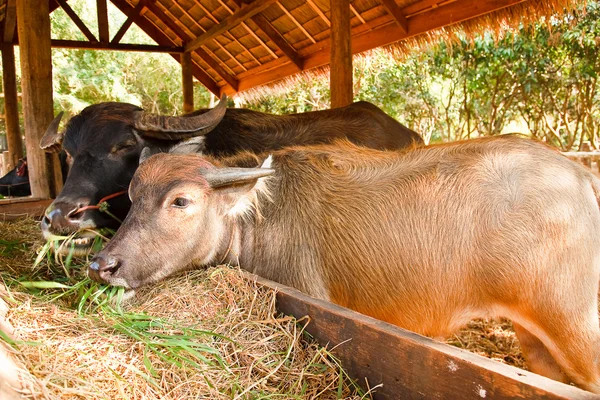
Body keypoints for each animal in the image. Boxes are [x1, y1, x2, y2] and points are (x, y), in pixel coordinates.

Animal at [90, 136, 600, 392]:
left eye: (180, 200)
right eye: (132, 196)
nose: (103, 264)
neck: (257, 215)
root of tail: (579, 175)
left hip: (574, 318)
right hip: (533, 335)